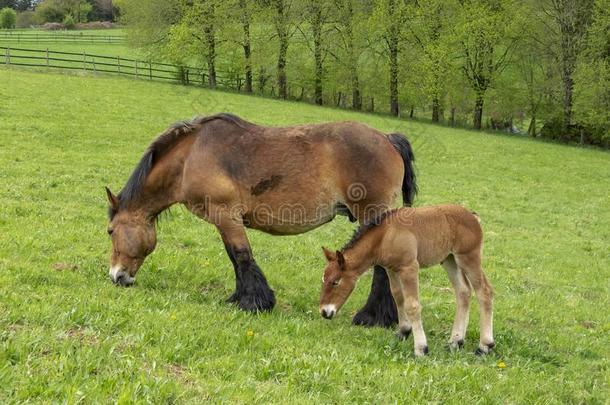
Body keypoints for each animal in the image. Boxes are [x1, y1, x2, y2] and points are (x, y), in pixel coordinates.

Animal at [105, 112, 418, 326]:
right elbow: (236, 258)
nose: (116, 276)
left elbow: (241, 255)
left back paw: (372, 317)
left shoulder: (225, 216)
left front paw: (253, 302)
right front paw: (242, 298)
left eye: (110, 231)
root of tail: (388, 139)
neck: (191, 155)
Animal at [318, 204, 494, 356]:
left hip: (468, 257)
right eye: (323, 279)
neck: (385, 235)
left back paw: (484, 346)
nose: (324, 312)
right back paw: (455, 342)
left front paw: (421, 349)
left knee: (484, 291)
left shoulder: (409, 268)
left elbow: (412, 305)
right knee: (463, 292)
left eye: (335, 282)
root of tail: (472, 215)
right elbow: (398, 297)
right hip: (449, 260)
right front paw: (403, 332)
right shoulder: (391, 269)